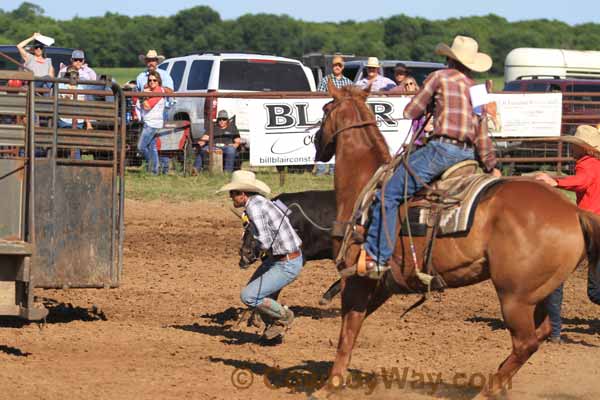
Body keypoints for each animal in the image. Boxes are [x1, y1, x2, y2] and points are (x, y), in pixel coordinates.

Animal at [312, 81, 600, 396]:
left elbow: (348, 332)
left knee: (526, 343)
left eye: (325, 109)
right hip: (540, 291)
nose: (316, 142)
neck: (364, 185)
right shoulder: (384, 284)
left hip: (514, 297)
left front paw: (329, 385)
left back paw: (486, 391)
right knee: (542, 331)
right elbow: (355, 324)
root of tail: (574, 212)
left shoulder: (358, 279)